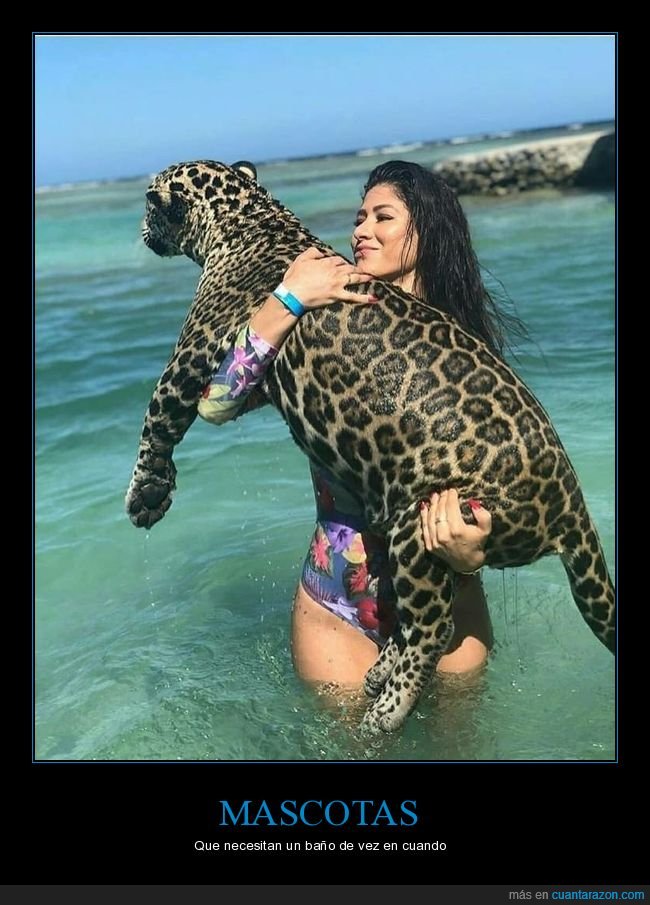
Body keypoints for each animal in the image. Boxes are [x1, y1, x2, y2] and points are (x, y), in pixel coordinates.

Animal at [125, 159, 615, 734]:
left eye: (150, 201)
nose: (140, 228)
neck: (249, 219)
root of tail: (571, 505)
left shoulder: (192, 354)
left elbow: (158, 418)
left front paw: (145, 496)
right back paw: (381, 671)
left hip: (421, 523)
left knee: (433, 626)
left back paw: (388, 709)